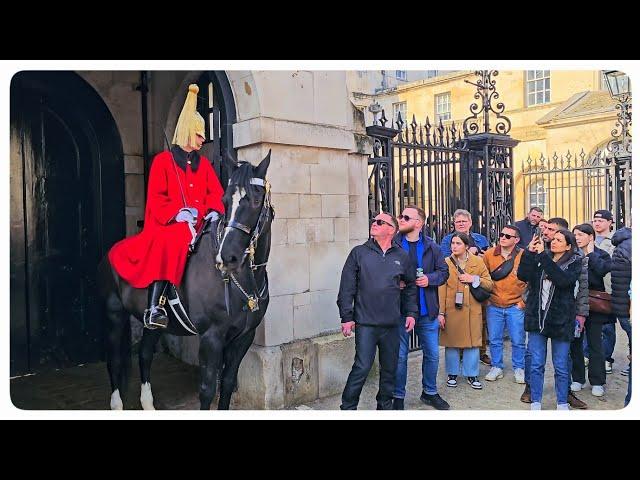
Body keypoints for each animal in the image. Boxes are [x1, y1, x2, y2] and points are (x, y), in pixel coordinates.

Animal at [96, 150, 272, 408]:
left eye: (257, 200)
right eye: (225, 201)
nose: (227, 257)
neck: (244, 279)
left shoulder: (243, 338)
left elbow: (228, 383)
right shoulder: (211, 337)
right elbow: (208, 390)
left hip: (153, 325)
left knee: (145, 354)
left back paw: (148, 404)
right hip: (114, 316)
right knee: (115, 360)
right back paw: (117, 405)